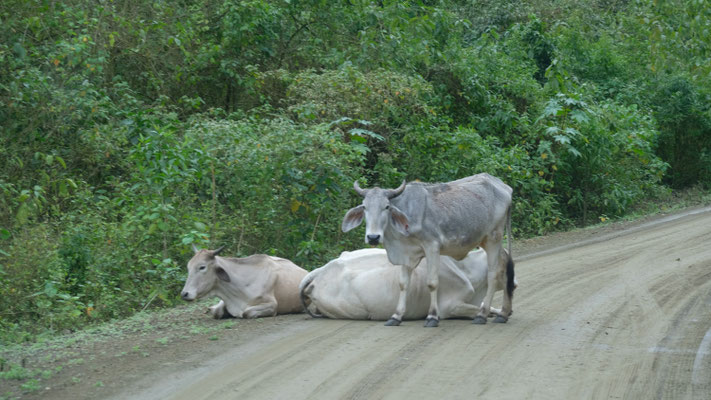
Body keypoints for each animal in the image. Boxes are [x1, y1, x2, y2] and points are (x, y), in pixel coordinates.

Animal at [300, 248, 516, 320]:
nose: (515, 284)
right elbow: (479, 310)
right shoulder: (449, 307)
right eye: (509, 267)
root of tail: (322, 270)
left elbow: (487, 307)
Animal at [342, 173, 516, 326]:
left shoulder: (432, 246)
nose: (373, 237)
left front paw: (432, 317)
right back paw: (503, 313)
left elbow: (432, 283)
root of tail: (503, 186)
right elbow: (403, 283)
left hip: (494, 238)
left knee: (493, 274)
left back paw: (482, 314)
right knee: (504, 265)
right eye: (364, 207)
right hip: (488, 241)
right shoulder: (406, 254)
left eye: (386, 206)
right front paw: (396, 316)